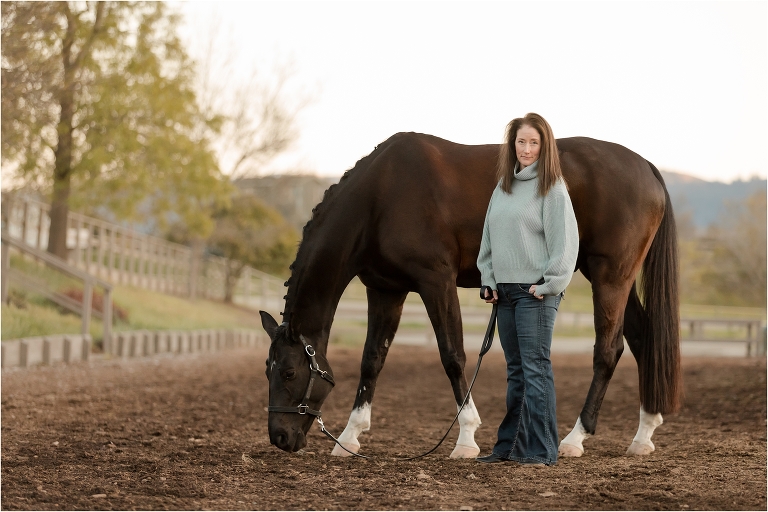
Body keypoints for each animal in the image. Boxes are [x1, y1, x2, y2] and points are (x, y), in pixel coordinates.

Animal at [259, 132, 681, 459]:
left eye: (290, 371)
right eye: (268, 369)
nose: (279, 437)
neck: (381, 197)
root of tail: (646, 166)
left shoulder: (436, 282)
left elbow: (453, 356)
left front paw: (465, 438)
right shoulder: (386, 290)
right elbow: (371, 361)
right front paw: (349, 437)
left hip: (611, 276)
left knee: (608, 352)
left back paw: (575, 439)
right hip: (612, 278)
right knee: (642, 340)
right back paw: (643, 434)